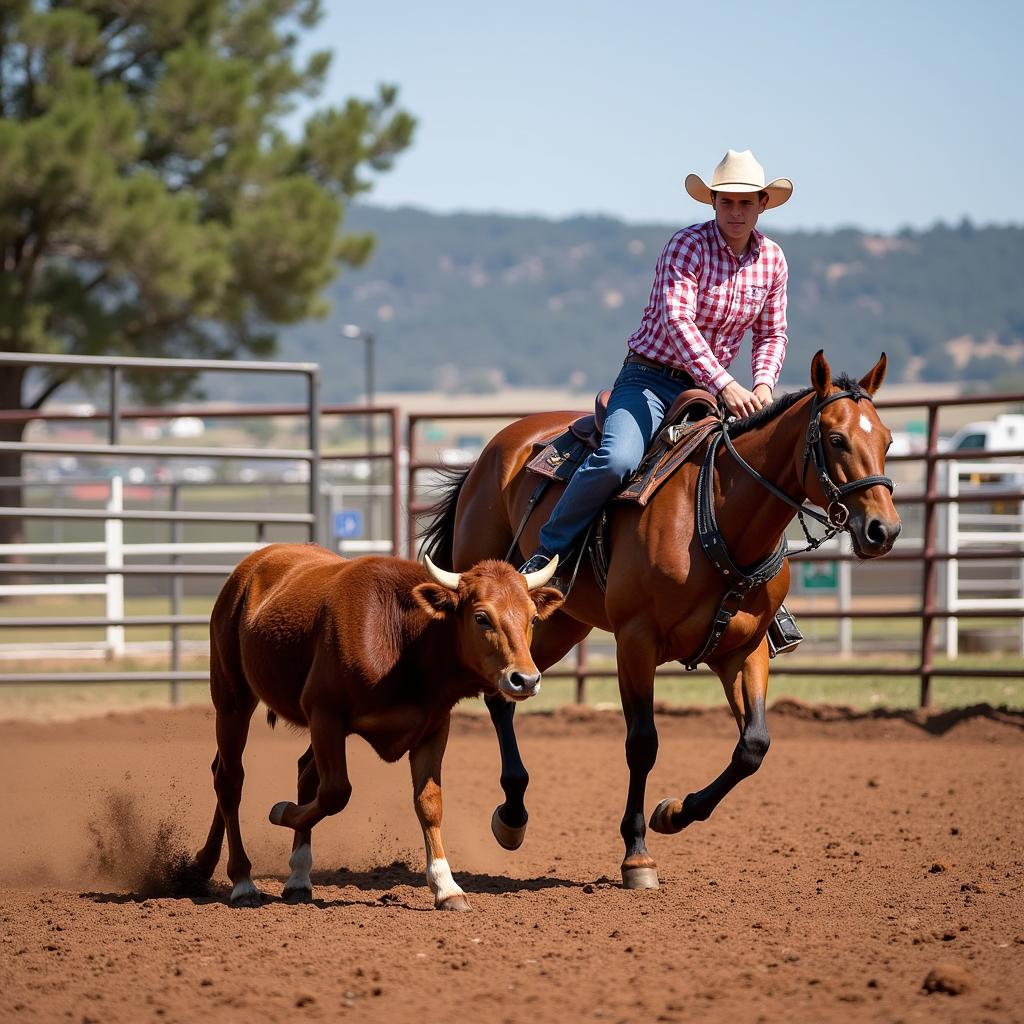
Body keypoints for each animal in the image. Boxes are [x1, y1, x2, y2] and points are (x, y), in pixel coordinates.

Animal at [192, 544, 561, 913]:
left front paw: (446, 886)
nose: (526, 679)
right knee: (230, 779)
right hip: (232, 697)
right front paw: (281, 811)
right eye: (481, 617)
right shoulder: (324, 713)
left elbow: (429, 802)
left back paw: (252, 871)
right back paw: (242, 880)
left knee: (284, 773)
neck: (401, 638)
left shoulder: (433, 727)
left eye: (533, 617)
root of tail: (252, 565)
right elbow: (335, 793)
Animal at [419, 350, 901, 888]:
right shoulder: (636, 642)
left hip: (562, 623)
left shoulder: (744, 649)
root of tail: (495, 450)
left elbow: (753, 745)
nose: (883, 530)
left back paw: (513, 815)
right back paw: (513, 814)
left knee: (508, 689)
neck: (715, 514)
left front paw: (673, 813)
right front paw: (637, 855)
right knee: (501, 691)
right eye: (836, 439)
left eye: (886, 440)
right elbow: (642, 744)